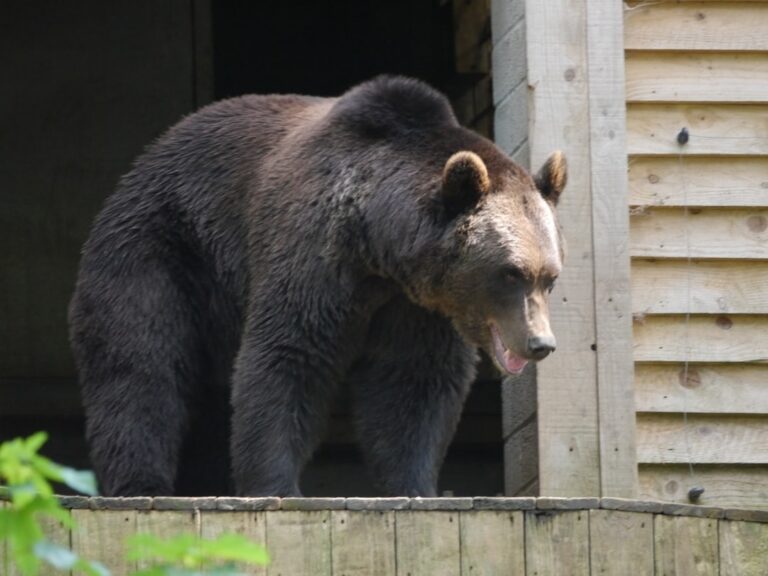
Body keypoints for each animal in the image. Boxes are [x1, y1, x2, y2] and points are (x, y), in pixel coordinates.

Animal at [69, 76, 567, 497]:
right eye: (510, 272)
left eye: (550, 276)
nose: (540, 343)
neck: (379, 243)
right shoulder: (314, 254)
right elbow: (289, 355)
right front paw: (275, 486)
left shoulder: (416, 305)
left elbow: (413, 382)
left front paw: (416, 486)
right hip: (162, 248)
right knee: (140, 362)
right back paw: (140, 483)